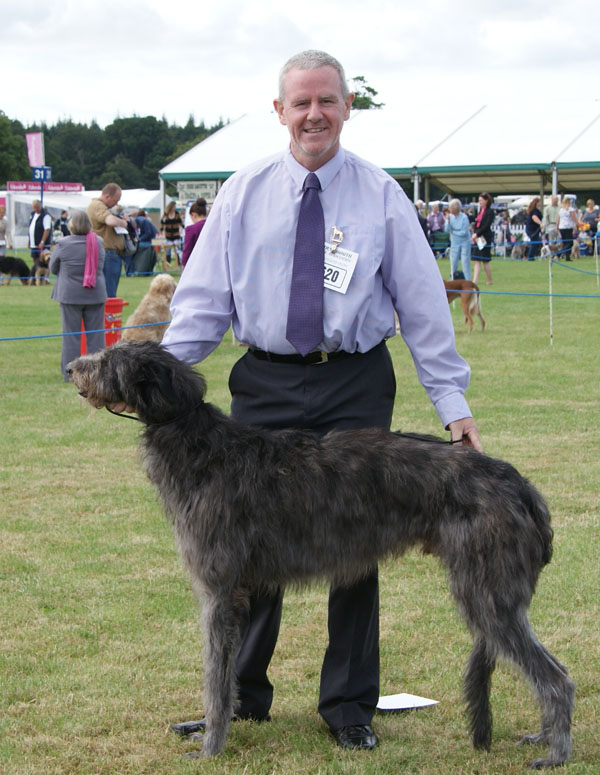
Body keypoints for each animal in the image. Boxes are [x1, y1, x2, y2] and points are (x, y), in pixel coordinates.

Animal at [67, 342, 576, 768]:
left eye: (110, 361)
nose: (70, 367)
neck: (198, 441)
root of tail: (521, 486)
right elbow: (226, 676)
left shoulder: (218, 592)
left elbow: (215, 679)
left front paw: (211, 746)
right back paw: (542, 736)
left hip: (486, 592)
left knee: (556, 677)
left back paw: (556, 753)